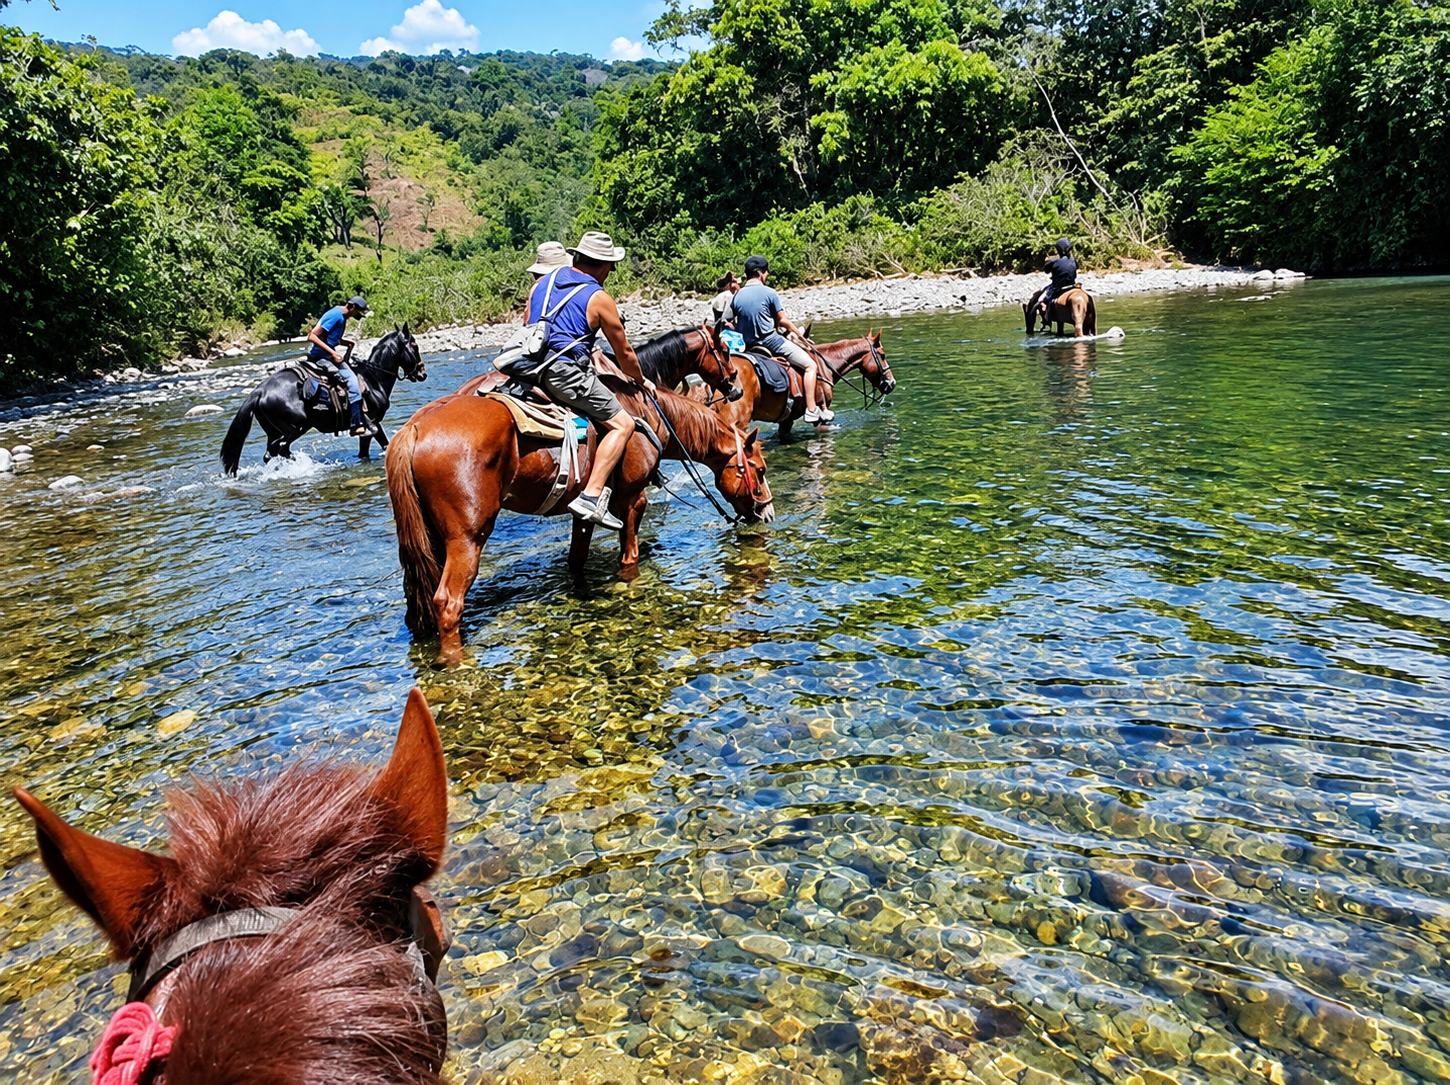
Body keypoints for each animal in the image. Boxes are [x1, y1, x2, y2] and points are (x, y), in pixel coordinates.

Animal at [220, 326, 428, 475]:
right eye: (415, 346)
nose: (422, 373)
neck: (373, 378)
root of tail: (260, 390)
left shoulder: (368, 427)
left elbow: (367, 451)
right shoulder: (372, 422)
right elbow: (383, 441)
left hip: (275, 430)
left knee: (271, 453)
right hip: (295, 428)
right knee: (278, 449)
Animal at [386, 379, 772, 665]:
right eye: (760, 470)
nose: (768, 513)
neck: (650, 418)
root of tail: (415, 428)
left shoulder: (581, 513)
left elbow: (577, 558)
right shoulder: (632, 500)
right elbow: (629, 558)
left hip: (430, 538)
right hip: (467, 537)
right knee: (448, 603)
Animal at [701, 330, 896, 442]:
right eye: (883, 355)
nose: (892, 383)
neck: (824, 365)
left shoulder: (786, 421)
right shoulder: (822, 415)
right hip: (737, 422)